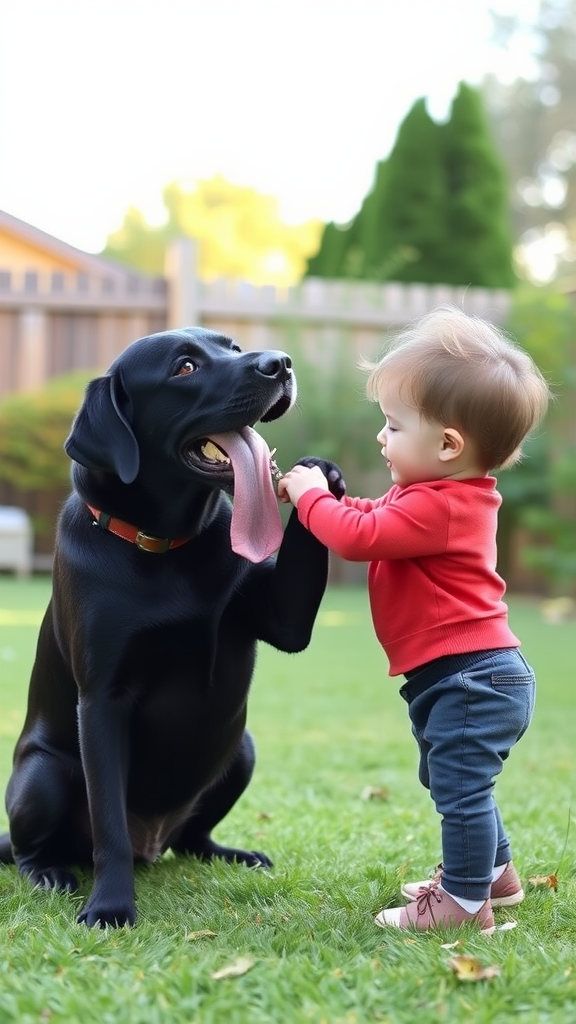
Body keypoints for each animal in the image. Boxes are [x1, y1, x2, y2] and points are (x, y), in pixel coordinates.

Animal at [0, 327, 340, 929]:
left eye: (232, 348)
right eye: (184, 368)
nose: (281, 364)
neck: (167, 545)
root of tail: (152, 842)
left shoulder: (285, 622)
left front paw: (320, 474)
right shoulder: (103, 701)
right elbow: (108, 824)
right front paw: (110, 907)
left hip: (240, 748)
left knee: (192, 838)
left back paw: (231, 854)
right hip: (44, 774)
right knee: (30, 848)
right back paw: (49, 874)